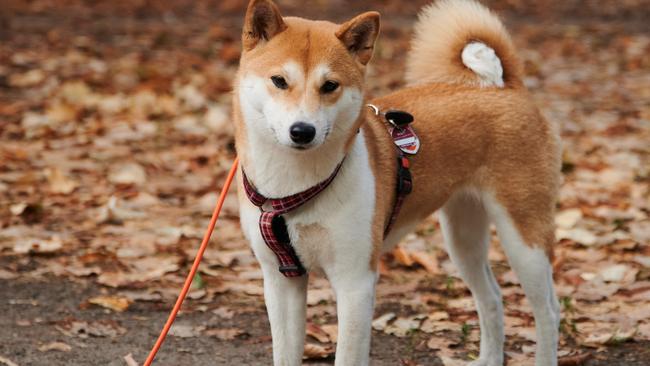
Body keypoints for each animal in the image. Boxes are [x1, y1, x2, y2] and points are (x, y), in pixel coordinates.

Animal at [232, 0, 556, 366]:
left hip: (523, 239)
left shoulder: (355, 282)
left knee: (548, 311)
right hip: (463, 239)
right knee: (492, 297)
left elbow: (347, 355)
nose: (302, 131)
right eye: (279, 80)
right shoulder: (281, 282)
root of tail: (505, 87)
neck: (293, 187)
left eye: (330, 86)